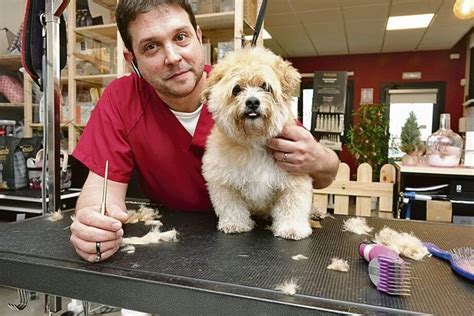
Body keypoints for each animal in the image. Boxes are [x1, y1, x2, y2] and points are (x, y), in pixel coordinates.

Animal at [202, 46, 312, 239]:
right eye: (236, 89)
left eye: (265, 86)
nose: (252, 102)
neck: (254, 140)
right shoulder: (224, 183)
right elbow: (231, 206)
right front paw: (235, 224)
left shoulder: (294, 180)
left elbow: (292, 206)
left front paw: (292, 228)